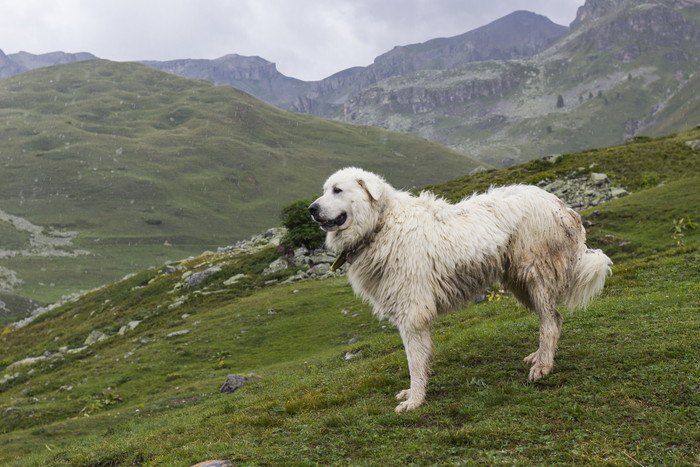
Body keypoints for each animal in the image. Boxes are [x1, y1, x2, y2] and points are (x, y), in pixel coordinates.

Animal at [308, 168, 608, 414]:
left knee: (550, 321)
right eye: (325, 189)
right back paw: (539, 356)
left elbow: (414, 361)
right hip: (520, 282)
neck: (381, 225)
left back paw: (542, 366)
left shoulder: (412, 312)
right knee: (552, 319)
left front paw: (415, 400)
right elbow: (420, 359)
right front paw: (414, 393)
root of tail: (561, 205)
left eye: (337, 190)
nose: (311, 208)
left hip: (536, 275)